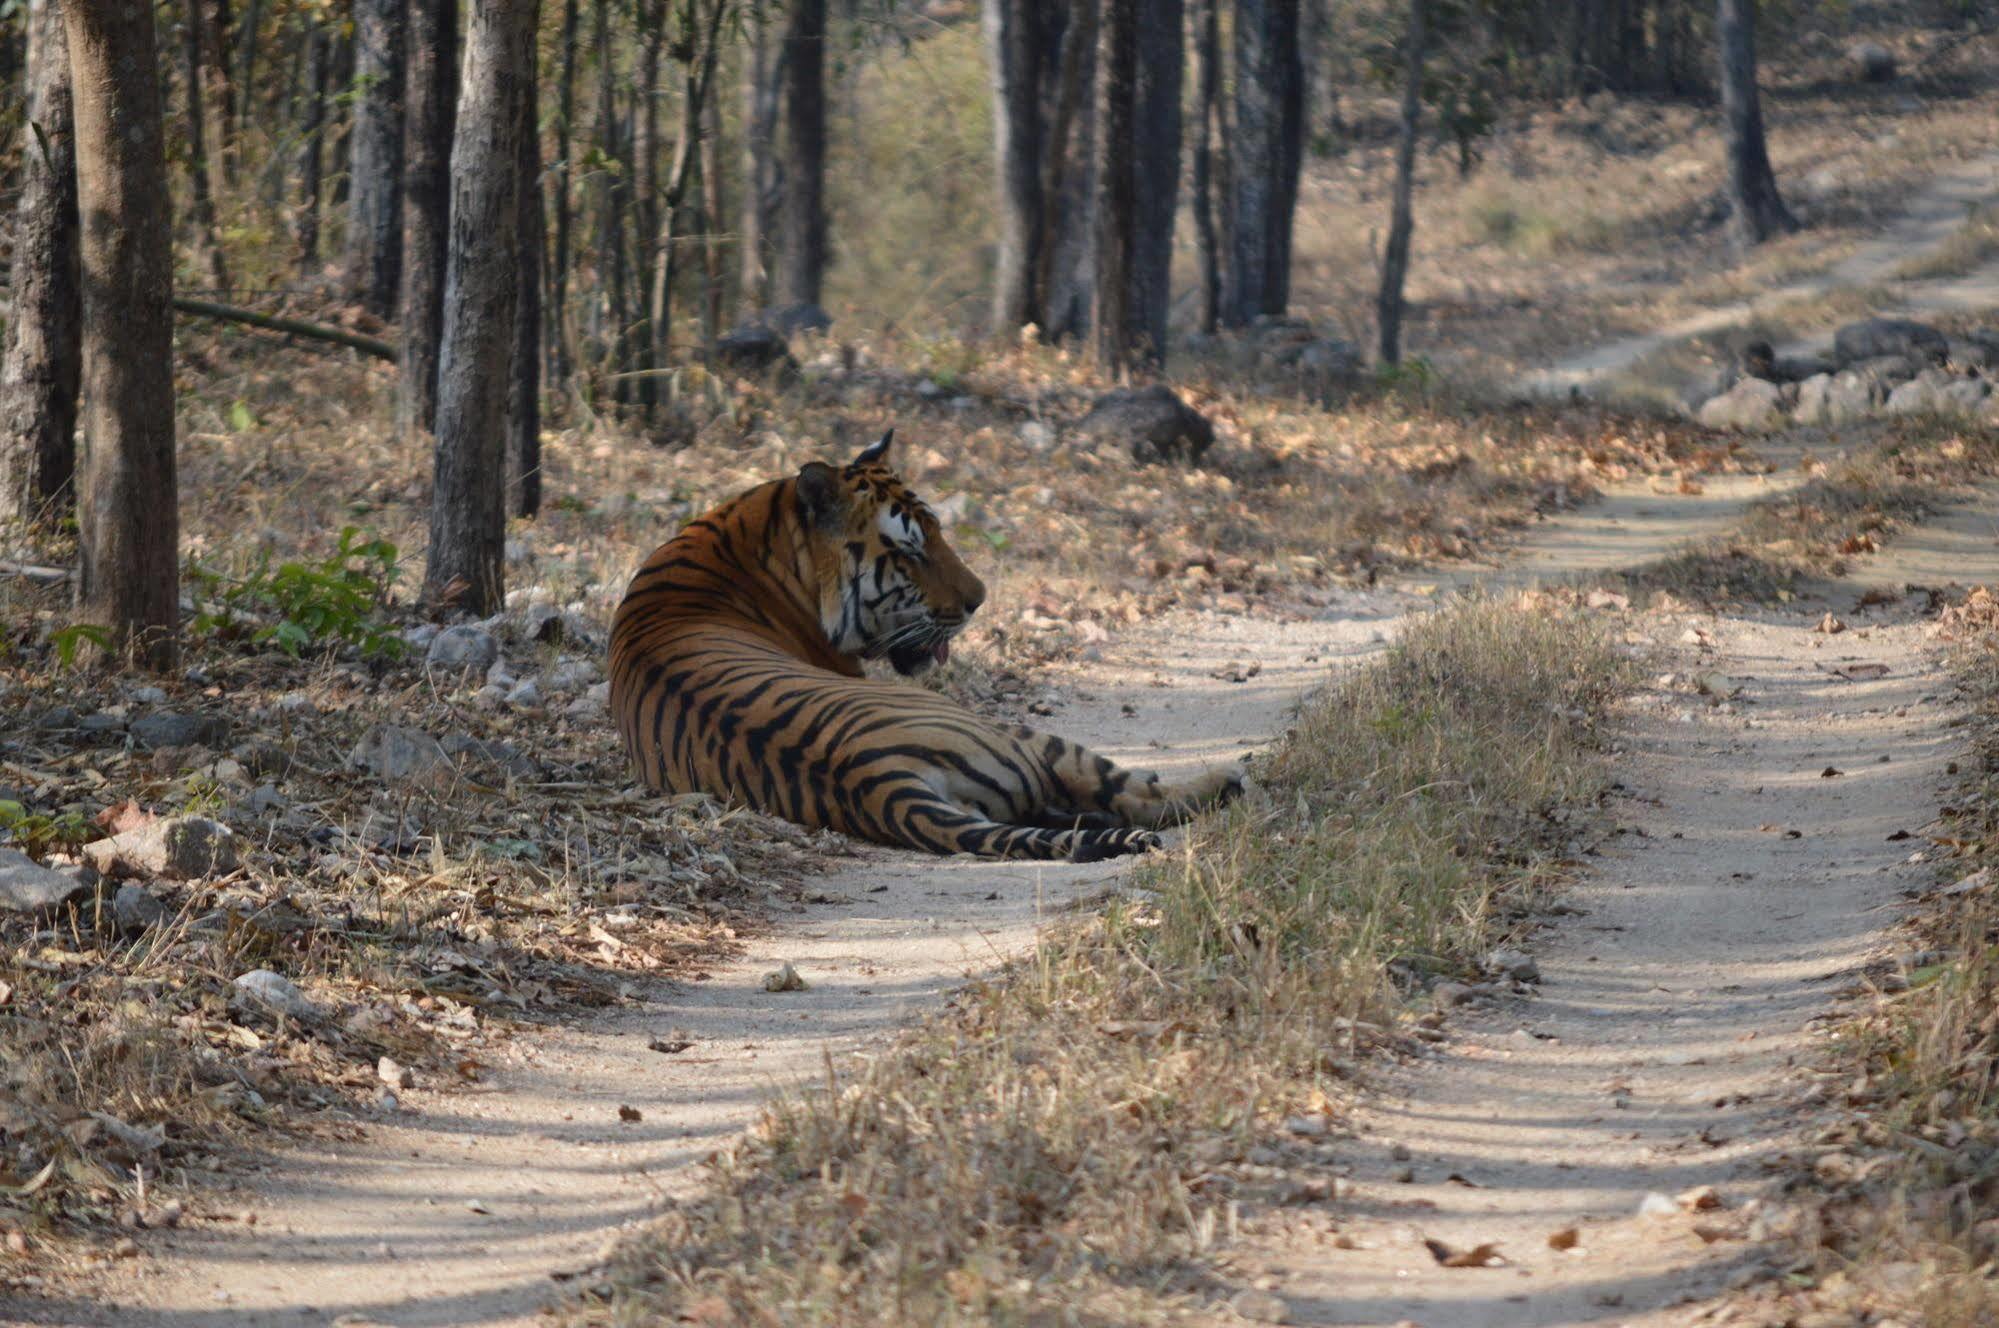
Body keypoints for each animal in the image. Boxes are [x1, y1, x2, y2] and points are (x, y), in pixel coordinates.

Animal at [599, 426, 1239, 860]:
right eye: (910, 552)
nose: (980, 598)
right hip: (1016, 734)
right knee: (1132, 793)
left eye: (939, 531)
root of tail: (878, 780)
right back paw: (1229, 779)